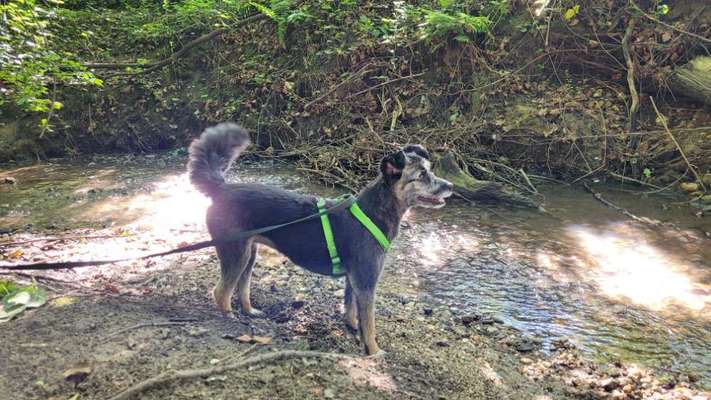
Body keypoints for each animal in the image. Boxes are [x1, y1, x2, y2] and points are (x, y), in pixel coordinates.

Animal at [186, 122, 454, 356]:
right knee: (221, 291)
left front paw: (352, 327)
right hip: (234, 251)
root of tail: (220, 189)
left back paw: (250, 312)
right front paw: (374, 351)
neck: (374, 212)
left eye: (429, 171)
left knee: (241, 285)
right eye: (422, 175)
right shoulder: (366, 280)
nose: (450, 185)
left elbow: (351, 309)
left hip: (248, 252)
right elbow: (369, 324)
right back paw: (229, 318)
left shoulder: (354, 279)